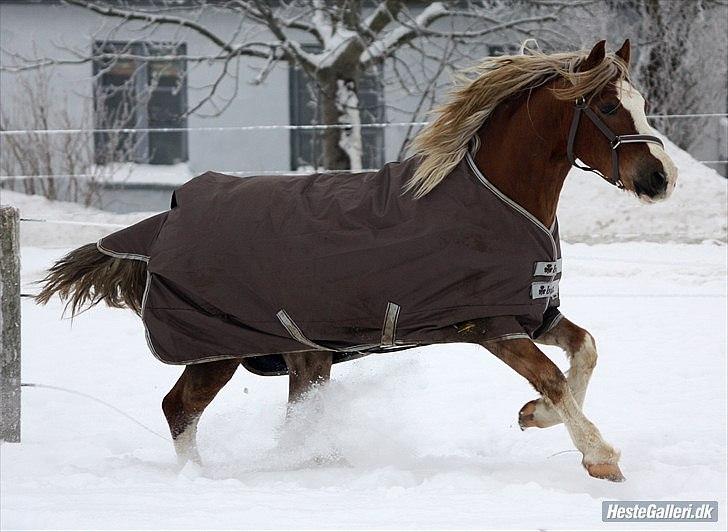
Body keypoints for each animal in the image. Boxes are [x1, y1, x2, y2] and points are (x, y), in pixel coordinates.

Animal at [38, 40, 676, 482]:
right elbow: (552, 376)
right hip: (220, 348)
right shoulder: (489, 324)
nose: (660, 178)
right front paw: (600, 457)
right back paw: (204, 477)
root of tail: (167, 218)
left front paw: (533, 416)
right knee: (180, 409)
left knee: (280, 412)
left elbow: (585, 350)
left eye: (642, 103)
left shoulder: (534, 313)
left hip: (300, 352)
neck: (498, 199)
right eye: (606, 106)